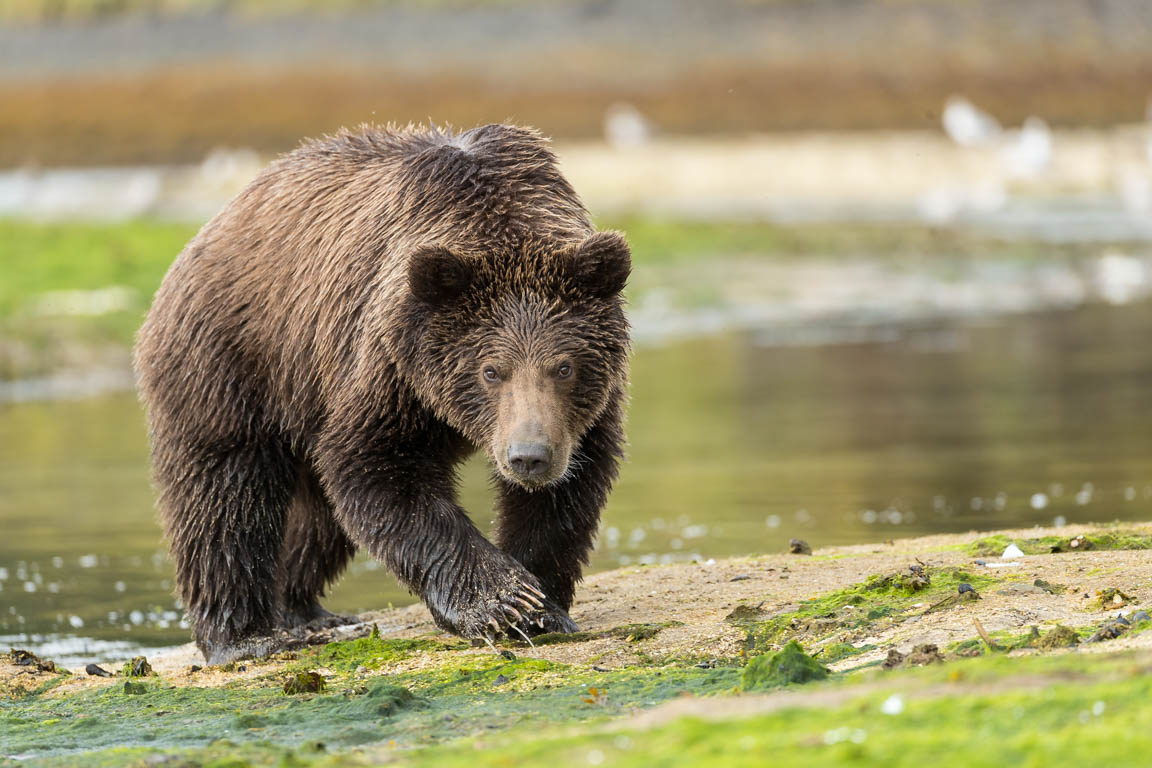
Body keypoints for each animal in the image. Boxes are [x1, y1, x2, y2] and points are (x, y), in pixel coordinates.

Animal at [139, 123, 635, 663]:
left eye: (564, 366)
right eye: (490, 371)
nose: (529, 457)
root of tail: (205, 233)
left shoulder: (578, 417)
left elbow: (567, 495)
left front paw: (542, 606)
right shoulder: (390, 365)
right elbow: (380, 471)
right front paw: (501, 601)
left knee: (316, 520)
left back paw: (305, 611)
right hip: (234, 363)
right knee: (225, 495)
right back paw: (245, 637)